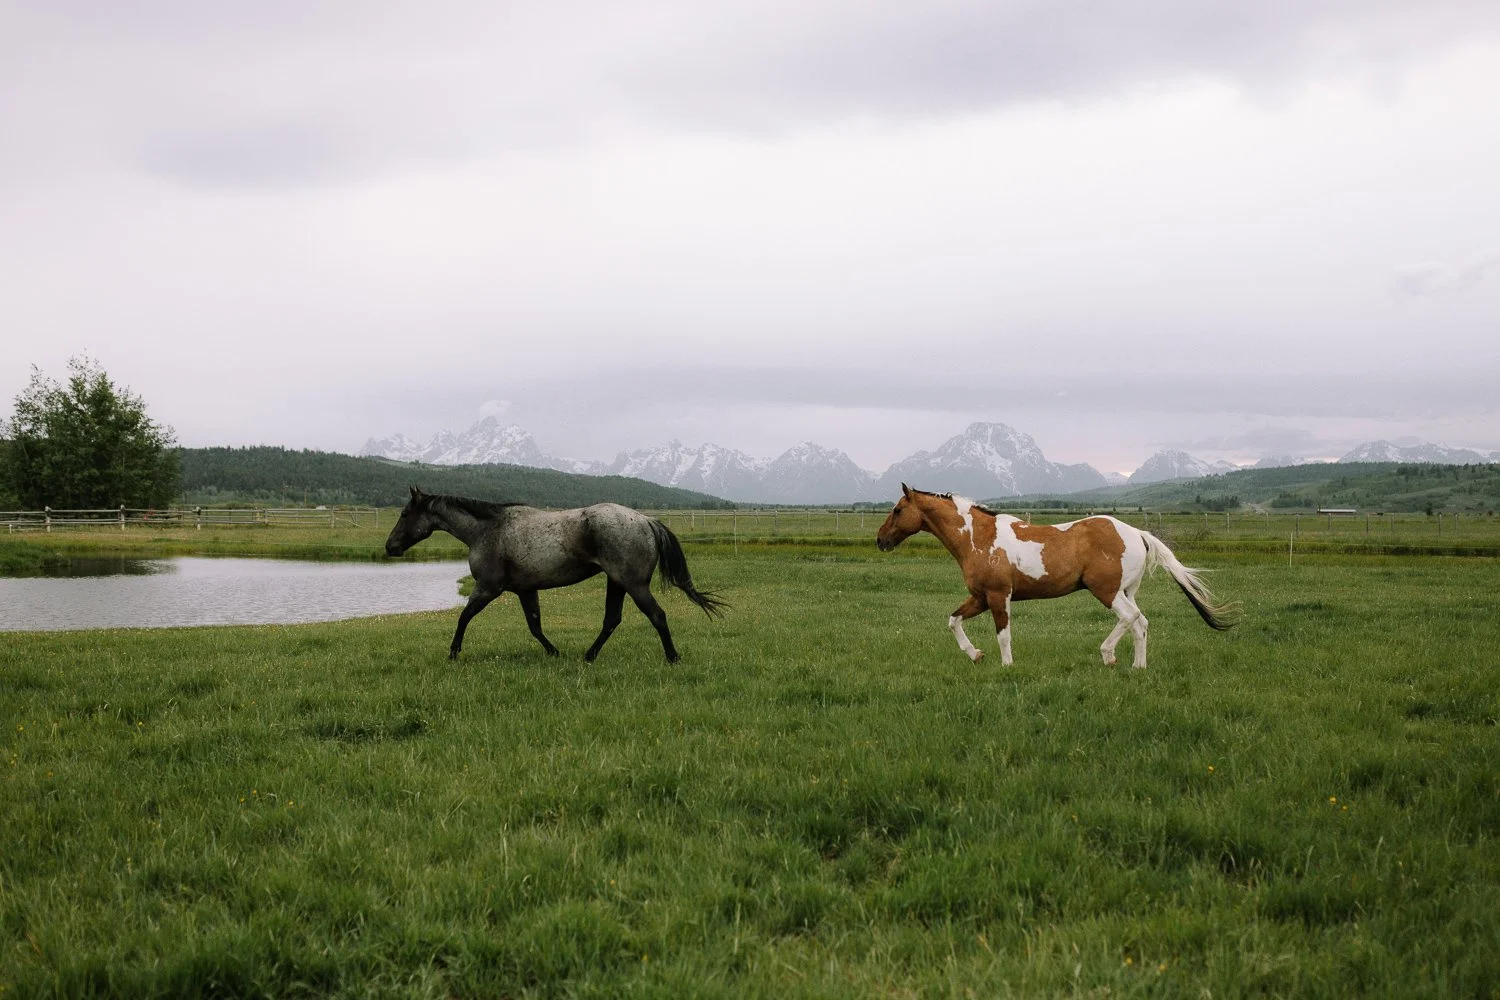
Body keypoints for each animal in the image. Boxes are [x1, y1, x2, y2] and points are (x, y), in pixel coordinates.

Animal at [385, 487, 726, 663]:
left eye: (404, 513)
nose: (389, 547)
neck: (488, 530)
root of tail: (646, 521)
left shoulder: (488, 588)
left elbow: (464, 617)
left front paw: (453, 653)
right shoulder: (525, 591)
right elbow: (535, 626)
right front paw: (554, 652)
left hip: (634, 584)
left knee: (656, 615)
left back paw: (672, 657)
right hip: (616, 582)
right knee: (611, 620)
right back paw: (588, 656)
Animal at [875, 484, 1239, 668]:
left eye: (897, 510)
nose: (880, 541)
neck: (978, 538)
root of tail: (1137, 533)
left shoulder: (998, 596)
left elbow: (1003, 635)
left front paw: (1007, 666)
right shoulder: (980, 597)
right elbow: (953, 621)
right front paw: (975, 654)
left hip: (1106, 591)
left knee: (1130, 618)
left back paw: (1108, 656)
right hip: (1125, 591)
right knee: (1141, 623)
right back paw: (1137, 667)